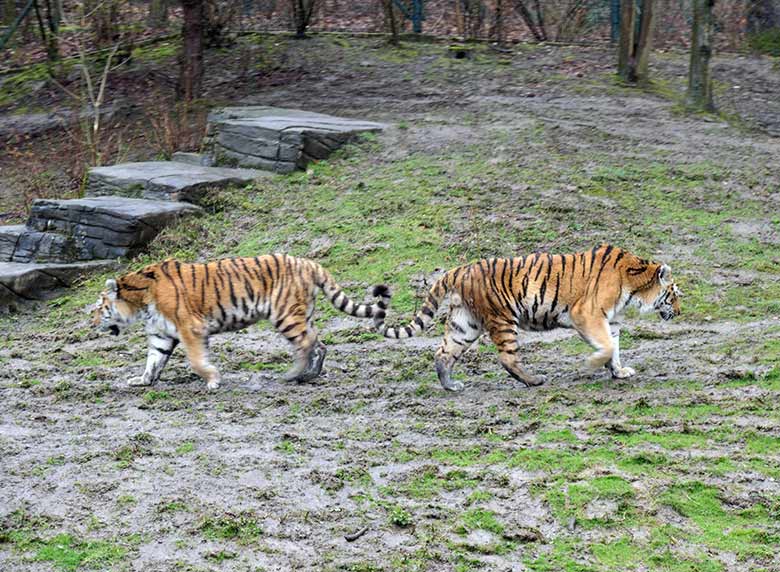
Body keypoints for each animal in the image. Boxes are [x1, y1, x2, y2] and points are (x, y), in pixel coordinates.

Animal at [93, 255, 390, 388]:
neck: (140, 303)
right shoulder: (161, 335)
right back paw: (309, 375)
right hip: (302, 314)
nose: (92, 323)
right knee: (320, 344)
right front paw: (142, 380)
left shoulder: (191, 328)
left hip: (285, 315)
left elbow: (196, 360)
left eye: (99, 307)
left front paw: (212, 380)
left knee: (306, 344)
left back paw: (293, 375)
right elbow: (153, 360)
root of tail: (308, 262)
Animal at [374, 244, 680, 392]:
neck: (635, 286)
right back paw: (534, 381)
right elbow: (605, 347)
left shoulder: (611, 322)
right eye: (675, 294)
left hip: (465, 324)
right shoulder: (587, 314)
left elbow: (614, 348)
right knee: (507, 358)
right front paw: (591, 365)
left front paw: (619, 372)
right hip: (503, 319)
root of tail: (460, 269)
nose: (678, 312)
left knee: (443, 353)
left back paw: (451, 386)